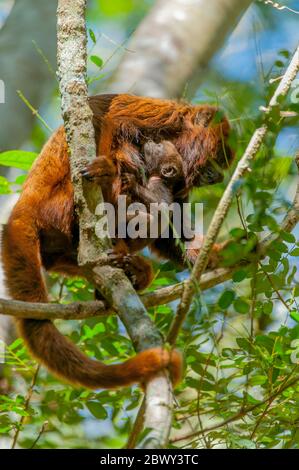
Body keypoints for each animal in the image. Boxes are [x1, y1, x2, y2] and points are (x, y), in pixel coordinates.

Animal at [0, 92, 234, 390]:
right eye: (218, 158)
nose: (219, 177)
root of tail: (25, 206)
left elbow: (171, 226)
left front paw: (216, 254)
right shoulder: (157, 114)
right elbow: (102, 118)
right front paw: (107, 168)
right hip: (60, 206)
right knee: (122, 151)